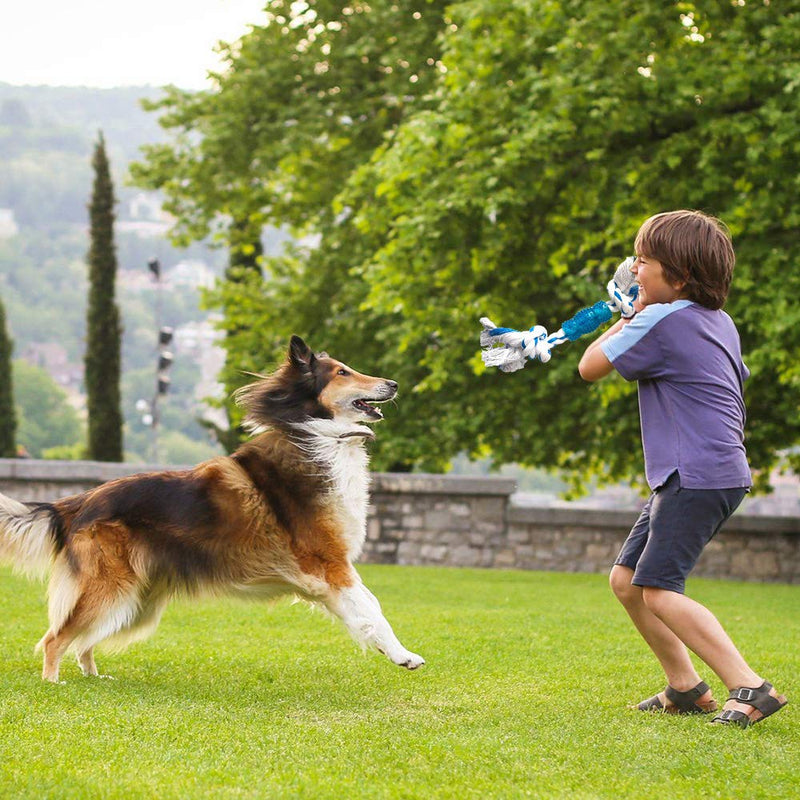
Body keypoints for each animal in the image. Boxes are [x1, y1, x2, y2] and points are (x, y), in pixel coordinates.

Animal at [0, 338, 424, 680]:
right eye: (341, 371)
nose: (394, 384)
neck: (317, 436)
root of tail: (77, 504)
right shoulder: (331, 565)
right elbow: (374, 611)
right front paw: (404, 655)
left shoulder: (333, 573)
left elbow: (367, 609)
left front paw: (395, 654)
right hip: (111, 590)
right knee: (55, 638)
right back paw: (55, 684)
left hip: (134, 602)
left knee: (83, 641)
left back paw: (93, 677)